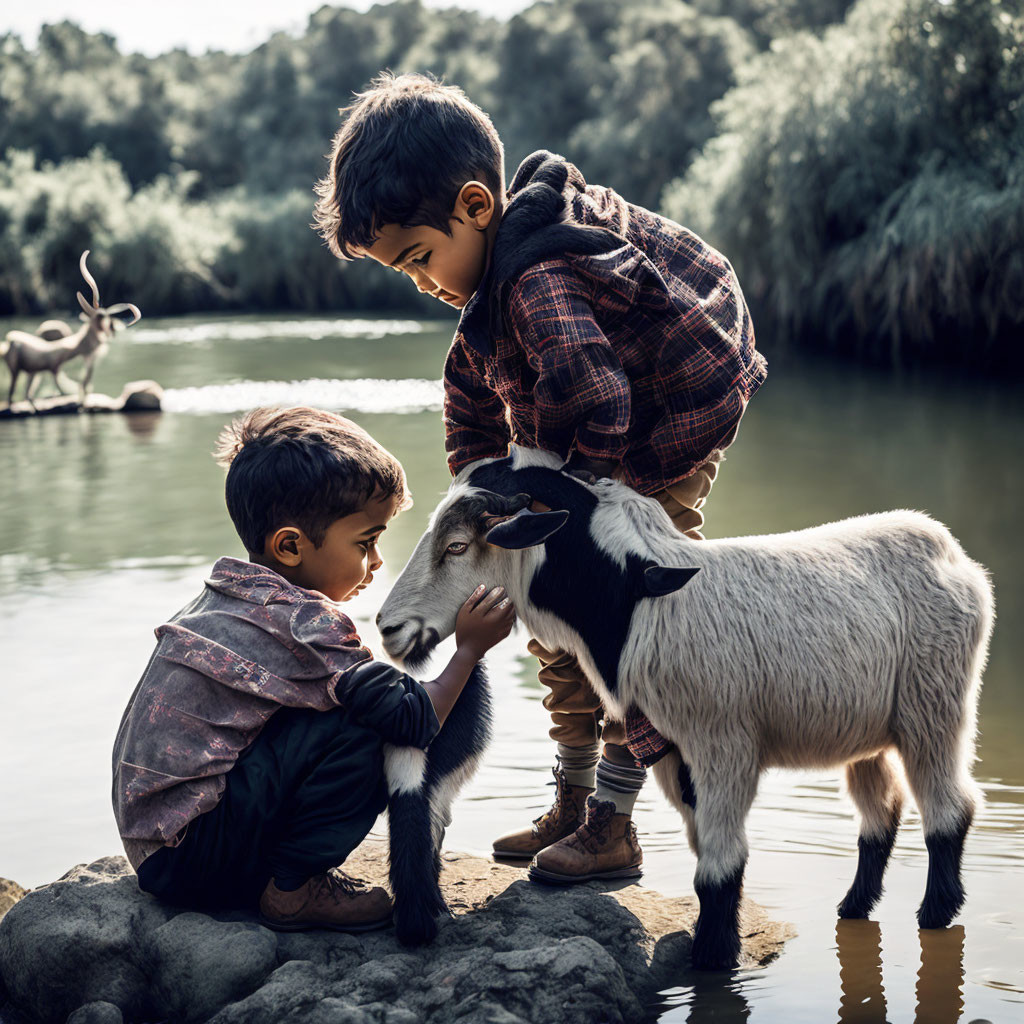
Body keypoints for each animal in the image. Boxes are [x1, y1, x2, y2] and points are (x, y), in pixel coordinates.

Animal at [1, 249, 141, 405]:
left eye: (109, 322)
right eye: (100, 318)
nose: (110, 332)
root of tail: (7, 342)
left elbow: (83, 386)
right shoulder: (55, 369)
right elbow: (71, 389)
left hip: (29, 373)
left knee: (25, 393)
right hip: (15, 370)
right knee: (12, 396)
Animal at [376, 446, 991, 966]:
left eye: (458, 546)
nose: (388, 628)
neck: (634, 598)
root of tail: (952, 551)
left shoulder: (724, 744)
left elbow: (720, 866)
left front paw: (712, 960)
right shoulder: (676, 752)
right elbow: (708, 860)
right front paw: (711, 945)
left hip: (934, 703)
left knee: (950, 806)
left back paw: (936, 911)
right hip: (867, 728)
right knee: (880, 811)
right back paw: (855, 905)